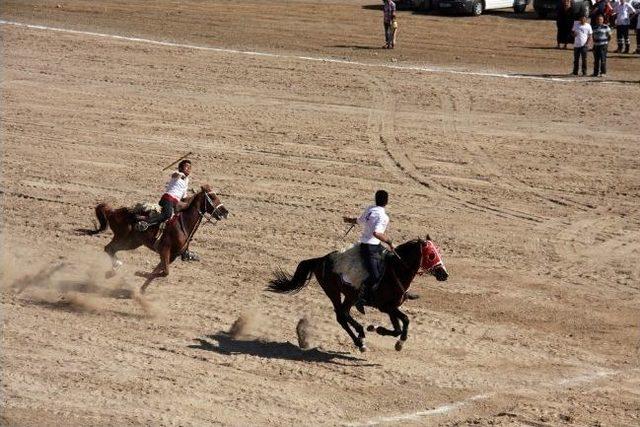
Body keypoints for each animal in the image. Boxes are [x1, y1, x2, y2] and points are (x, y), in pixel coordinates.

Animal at [87, 186, 228, 292]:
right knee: (109, 248)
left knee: (111, 249)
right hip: (123, 238)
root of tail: (113, 211)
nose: (225, 212)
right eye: (212, 197)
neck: (183, 224)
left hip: (133, 242)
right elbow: (165, 272)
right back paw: (115, 267)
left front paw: (141, 289)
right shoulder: (164, 250)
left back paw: (112, 271)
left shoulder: (172, 256)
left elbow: (159, 270)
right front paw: (138, 273)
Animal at [268, 237, 448, 352]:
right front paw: (399, 343)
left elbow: (397, 327)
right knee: (341, 315)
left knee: (344, 314)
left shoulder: (391, 308)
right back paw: (360, 339)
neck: (395, 270)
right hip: (334, 291)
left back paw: (361, 335)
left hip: (349, 295)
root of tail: (320, 260)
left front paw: (377, 329)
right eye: (431, 255)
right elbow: (405, 320)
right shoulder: (385, 306)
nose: (444, 274)